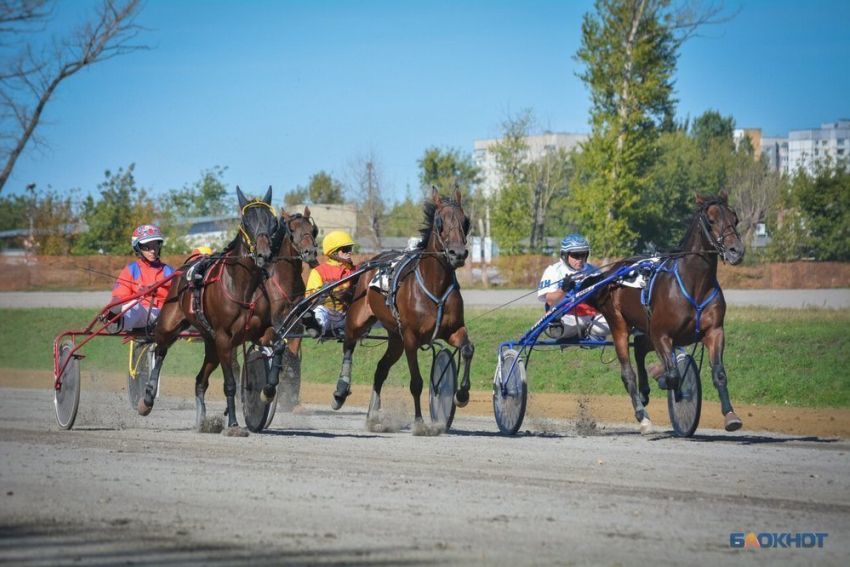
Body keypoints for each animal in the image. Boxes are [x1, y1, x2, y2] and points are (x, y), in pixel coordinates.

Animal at [138, 189, 278, 428]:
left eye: (272, 221)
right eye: (246, 222)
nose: (264, 255)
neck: (243, 286)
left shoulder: (259, 332)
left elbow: (278, 347)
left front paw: (267, 391)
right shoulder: (223, 338)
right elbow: (230, 383)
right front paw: (233, 424)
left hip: (211, 346)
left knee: (200, 380)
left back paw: (202, 420)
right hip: (170, 326)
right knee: (159, 351)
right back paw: (147, 398)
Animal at [332, 186, 476, 430]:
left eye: (465, 220)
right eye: (440, 220)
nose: (458, 254)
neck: (435, 286)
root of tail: (370, 263)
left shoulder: (454, 330)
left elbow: (467, 349)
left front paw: (462, 394)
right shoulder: (410, 337)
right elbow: (416, 382)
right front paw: (419, 423)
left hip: (395, 338)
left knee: (380, 369)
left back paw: (373, 415)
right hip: (358, 320)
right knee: (348, 346)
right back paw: (341, 392)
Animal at [588, 191, 744, 434]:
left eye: (735, 218)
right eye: (711, 220)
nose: (736, 250)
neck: (695, 284)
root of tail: (613, 272)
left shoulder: (714, 331)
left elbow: (718, 373)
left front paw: (730, 416)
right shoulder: (662, 334)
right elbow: (672, 376)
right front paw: (662, 378)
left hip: (646, 327)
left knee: (639, 347)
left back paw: (644, 393)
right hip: (618, 324)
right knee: (628, 372)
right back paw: (642, 415)